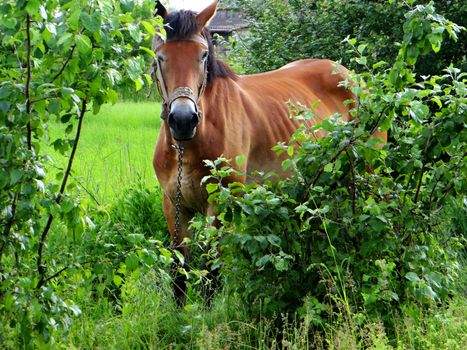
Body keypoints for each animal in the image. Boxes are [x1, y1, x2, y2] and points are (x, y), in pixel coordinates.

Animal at [153, 0, 388, 302]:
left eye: (203, 55)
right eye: (161, 57)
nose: (183, 120)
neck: (191, 144)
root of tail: (355, 79)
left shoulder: (220, 204)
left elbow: (211, 272)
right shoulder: (173, 205)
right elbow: (179, 273)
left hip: (368, 172)